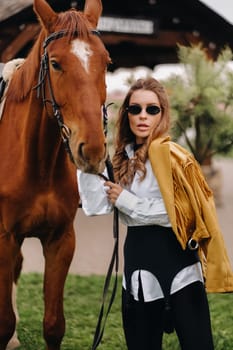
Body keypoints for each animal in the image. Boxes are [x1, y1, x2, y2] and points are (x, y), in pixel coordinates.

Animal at [0, 0, 110, 350]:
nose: (92, 149)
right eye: (55, 63)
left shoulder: (61, 239)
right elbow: (3, 323)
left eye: (106, 62)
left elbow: (53, 326)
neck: (39, 164)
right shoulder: (4, 238)